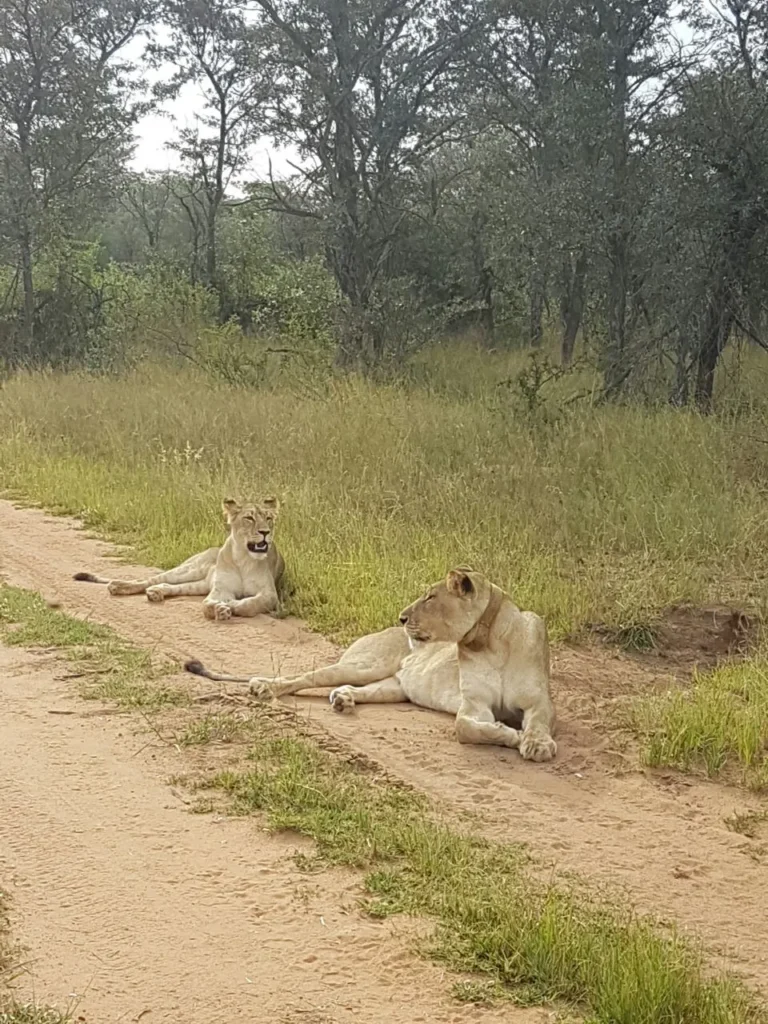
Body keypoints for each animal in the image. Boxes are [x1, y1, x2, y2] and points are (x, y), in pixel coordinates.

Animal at [74, 498, 285, 621]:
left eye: (269, 518)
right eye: (249, 518)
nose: (265, 532)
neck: (243, 558)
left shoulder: (269, 593)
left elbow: (252, 604)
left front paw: (231, 606)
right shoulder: (220, 590)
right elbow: (205, 605)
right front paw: (220, 609)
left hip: (199, 584)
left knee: (167, 585)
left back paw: (156, 593)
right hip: (189, 569)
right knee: (151, 579)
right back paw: (118, 586)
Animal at [186, 568, 557, 760]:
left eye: (430, 597)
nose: (402, 617)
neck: (489, 643)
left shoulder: (540, 702)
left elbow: (538, 722)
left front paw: (537, 743)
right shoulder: (473, 706)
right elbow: (472, 728)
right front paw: (513, 734)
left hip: (392, 686)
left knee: (355, 688)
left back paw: (343, 699)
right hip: (361, 664)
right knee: (305, 677)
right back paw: (263, 686)